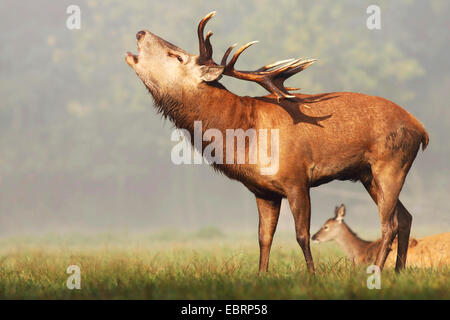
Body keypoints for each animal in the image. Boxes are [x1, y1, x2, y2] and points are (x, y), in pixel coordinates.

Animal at [125, 11, 428, 272]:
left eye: (176, 56)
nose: (140, 32)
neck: (244, 137)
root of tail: (422, 130)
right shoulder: (263, 190)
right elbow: (263, 238)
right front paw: (261, 275)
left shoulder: (296, 178)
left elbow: (301, 235)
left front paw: (312, 276)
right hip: (367, 174)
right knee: (405, 217)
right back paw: (398, 271)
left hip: (391, 164)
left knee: (389, 223)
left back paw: (378, 271)